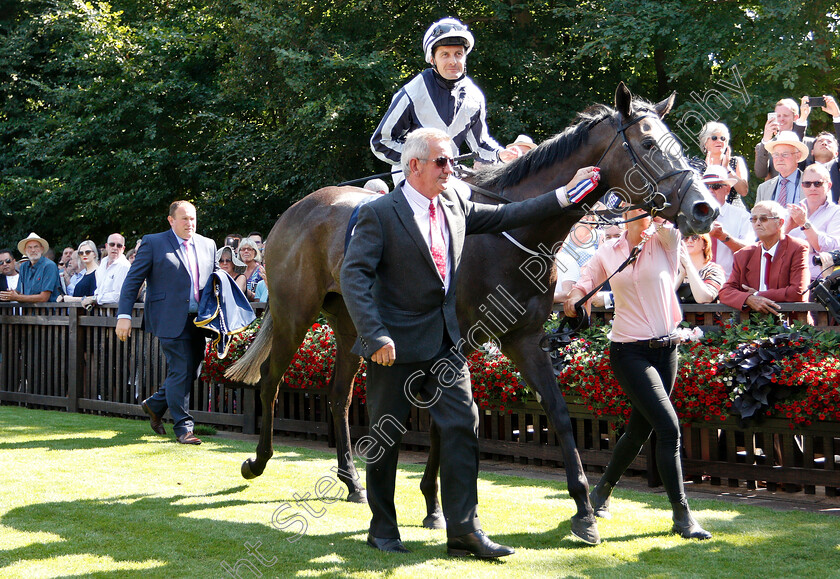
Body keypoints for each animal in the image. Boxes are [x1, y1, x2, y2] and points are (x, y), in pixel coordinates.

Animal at [226, 84, 720, 548]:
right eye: (649, 143)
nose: (705, 208)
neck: (510, 235)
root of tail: (296, 211)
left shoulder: (522, 340)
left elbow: (556, 414)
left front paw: (582, 510)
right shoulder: (457, 341)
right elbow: (450, 418)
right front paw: (435, 504)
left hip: (353, 329)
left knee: (338, 395)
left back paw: (352, 483)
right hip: (294, 315)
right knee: (270, 380)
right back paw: (258, 461)